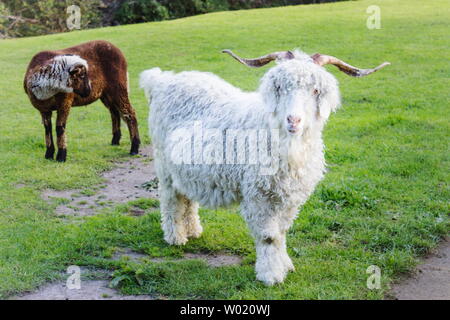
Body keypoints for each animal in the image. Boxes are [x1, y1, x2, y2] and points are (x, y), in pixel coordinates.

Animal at [139, 48, 388, 284]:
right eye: (279, 87)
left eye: (315, 91)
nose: (293, 120)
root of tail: (161, 81)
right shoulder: (258, 195)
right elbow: (269, 236)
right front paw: (271, 275)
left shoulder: (289, 197)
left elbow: (282, 232)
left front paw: (286, 265)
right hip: (163, 164)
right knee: (170, 200)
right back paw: (176, 237)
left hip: (187, 169)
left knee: (187, 198)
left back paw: (193, 231)